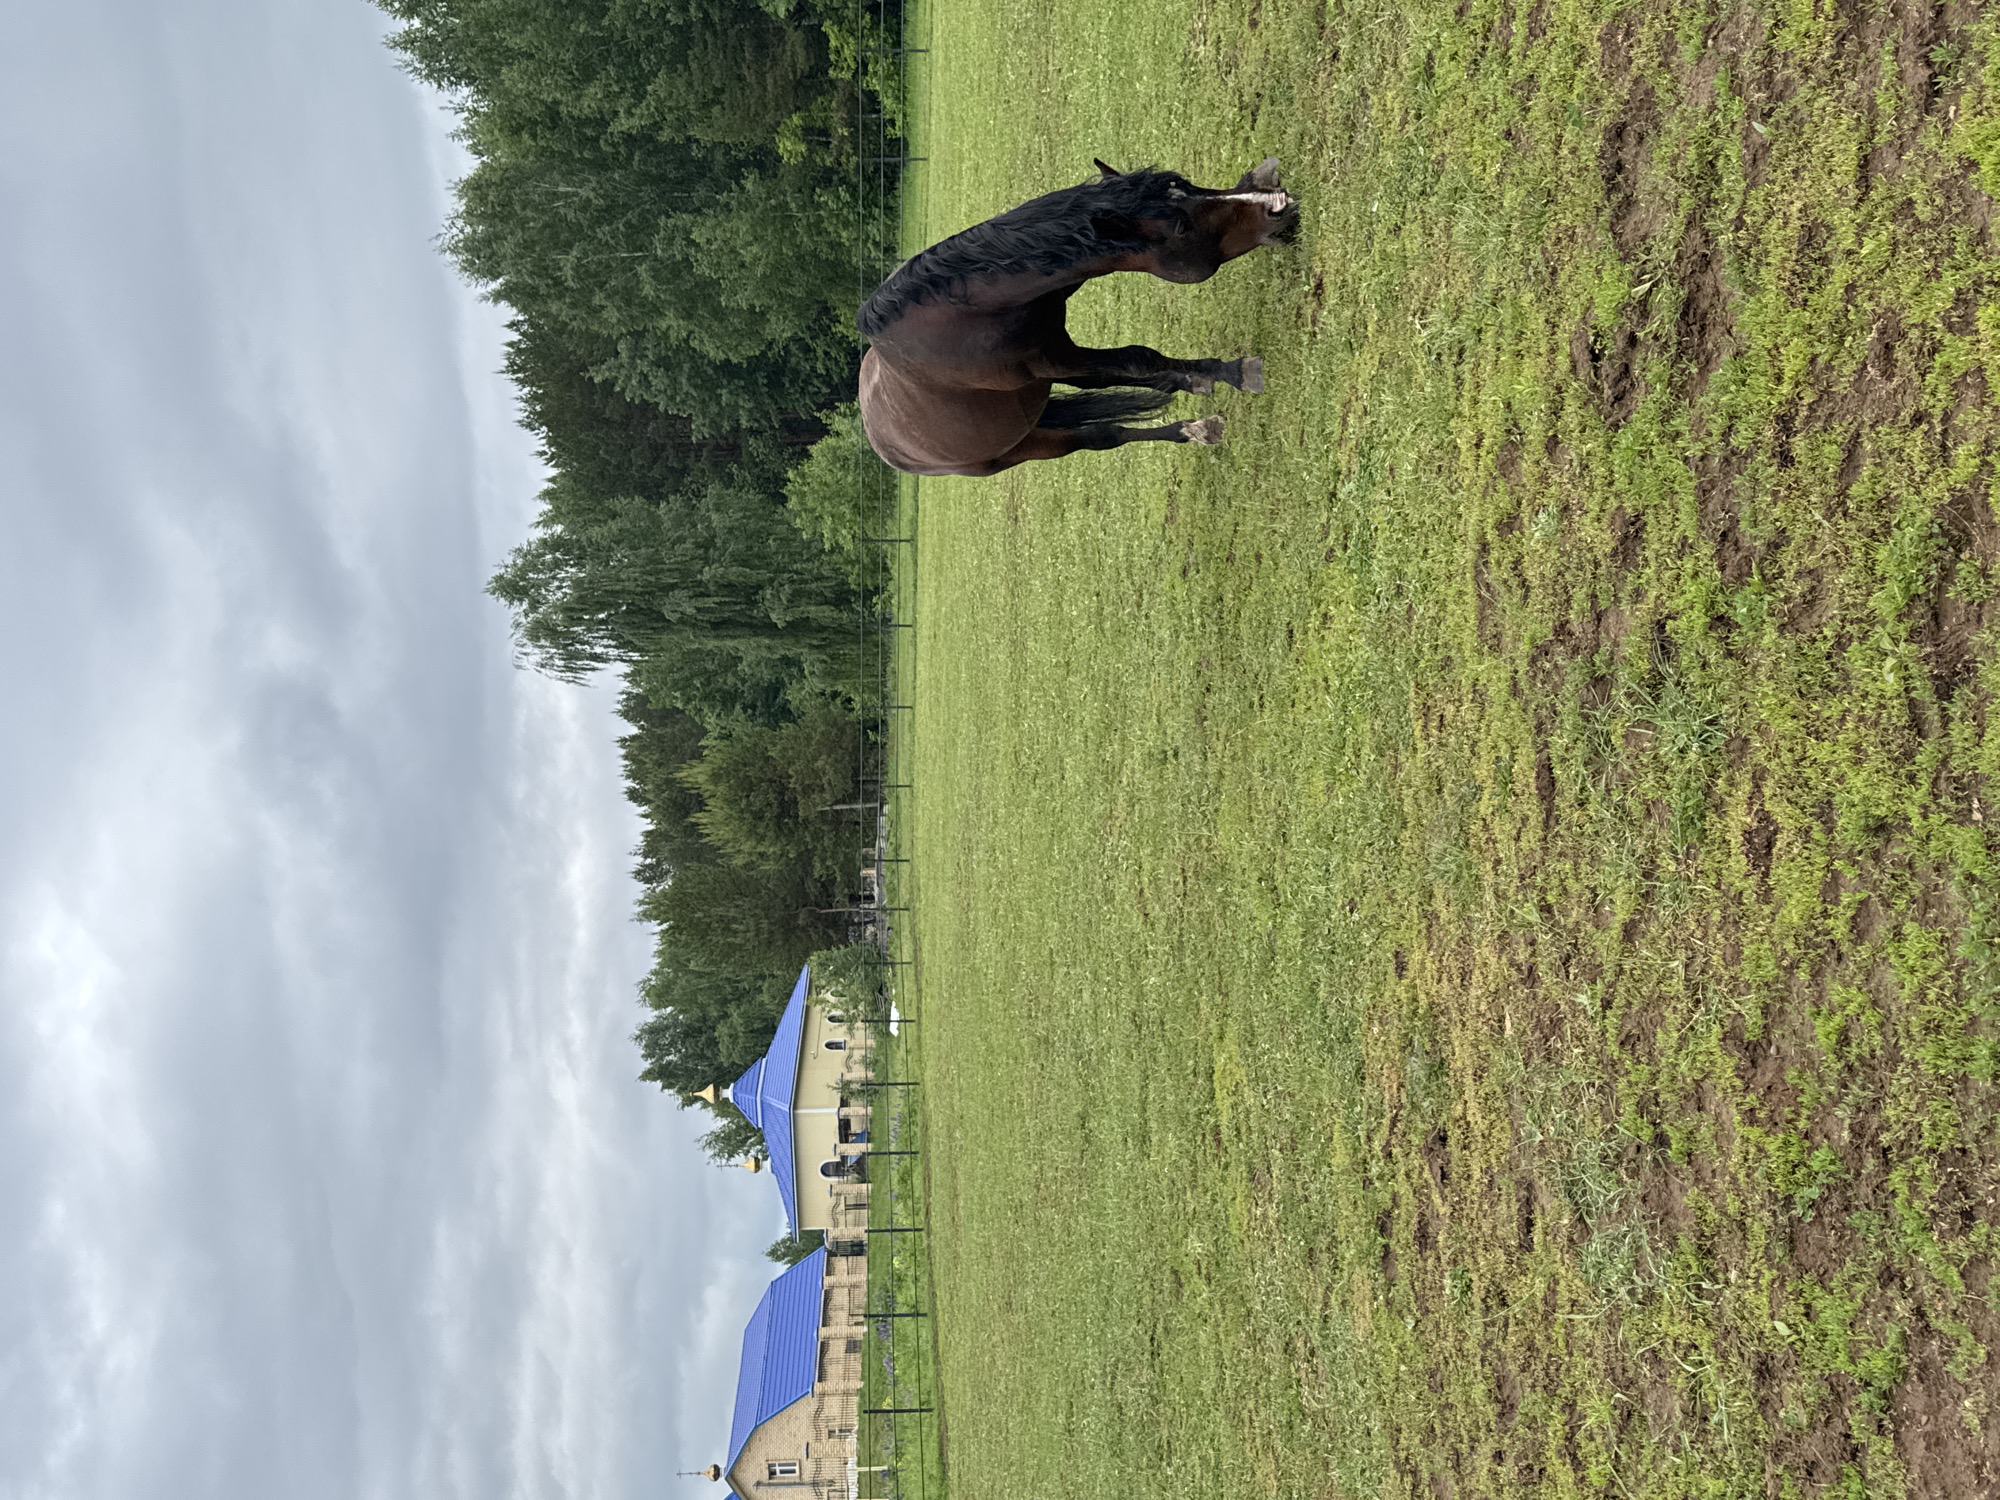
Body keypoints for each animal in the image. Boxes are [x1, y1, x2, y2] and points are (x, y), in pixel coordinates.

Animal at [856, 158, 1298, 477]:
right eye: (1179, 225)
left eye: (1186, 185)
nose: (1278, 201)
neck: (967, 316)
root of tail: (882, 442)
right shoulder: (1052, 360)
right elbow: (1140, 358)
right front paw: (1233, 371)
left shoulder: (1058, 345)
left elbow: (1129, 365)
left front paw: (1205, 375)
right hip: (1023, 447)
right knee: (1103, 435)